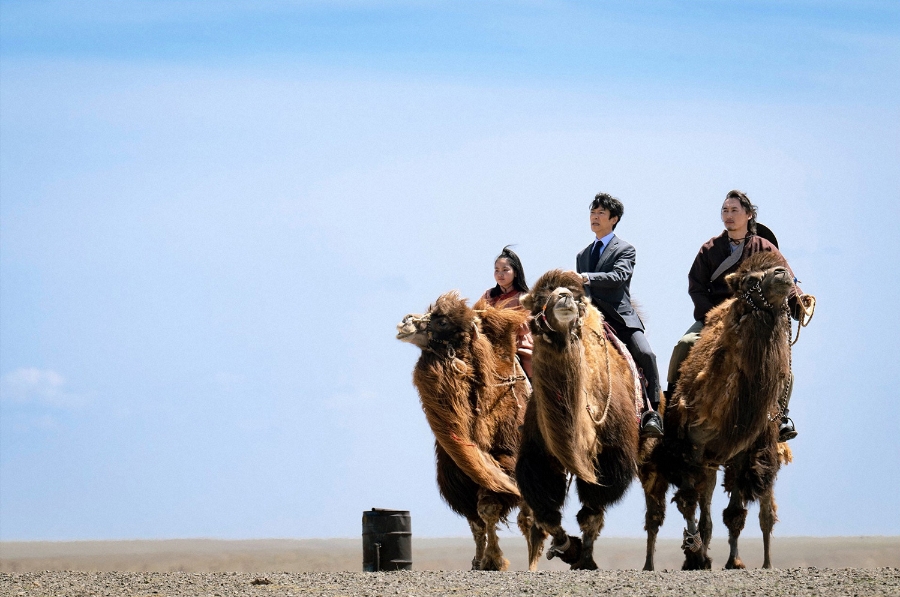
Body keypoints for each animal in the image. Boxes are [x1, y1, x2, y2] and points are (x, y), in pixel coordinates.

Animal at [400, 292, 540, 572]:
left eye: (442, 321)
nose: (404, 322)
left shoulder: (509, 460)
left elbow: (490, 508)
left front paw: (493, 560)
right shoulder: (458, 477)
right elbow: (476, 519)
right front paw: (480, 561)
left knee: (529, 516)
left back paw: (533, 563)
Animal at [512, 268, 652, 568]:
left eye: (577, 298)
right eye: (540, 299)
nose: (563, 297)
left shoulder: (611, 457)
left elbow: (591, 513)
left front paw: (584, 558)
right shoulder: (538, 456)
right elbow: (546, 513)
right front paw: (566, 546)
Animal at [640, 250, 808, 568]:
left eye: (781, 266)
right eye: (750, 280)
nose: (783, 275)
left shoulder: (741, 452)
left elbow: (734, 515)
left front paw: (734, 561)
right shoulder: (693, 450)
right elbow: (689, 503)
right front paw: (695, 554)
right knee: (679, 508)